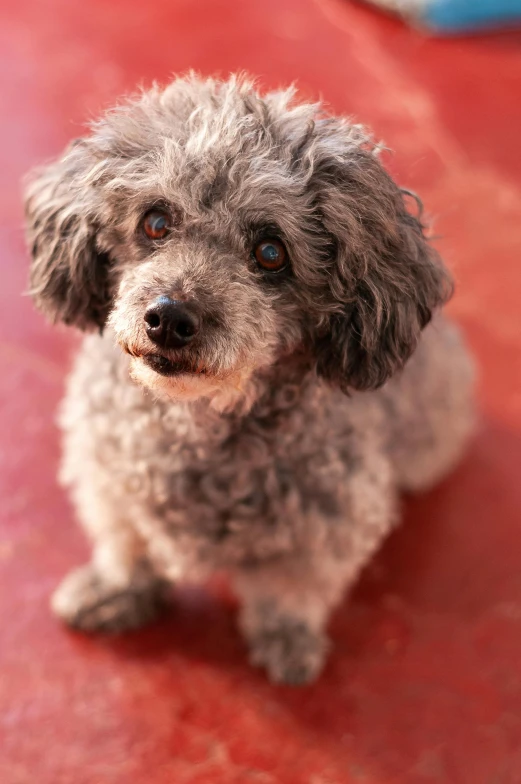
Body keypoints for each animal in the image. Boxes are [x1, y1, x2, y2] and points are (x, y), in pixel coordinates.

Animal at [24, 75, 474, 688]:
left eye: (270, 253)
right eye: (156, 222)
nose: (169, 318)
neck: (198, 419)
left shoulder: (329, 520)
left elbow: (290, 592)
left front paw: (286, 641)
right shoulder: (107, 478)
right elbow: (126, 544)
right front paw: (117, 591)